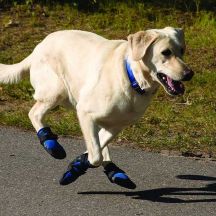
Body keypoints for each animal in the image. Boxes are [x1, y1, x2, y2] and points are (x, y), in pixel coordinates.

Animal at [0, 27, 194, 189]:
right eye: (165, 52)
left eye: (182, 50)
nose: (189, 74)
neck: (131, 77)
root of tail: (39, 46)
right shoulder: (85, 113)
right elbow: (95, 157)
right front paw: (77, 165)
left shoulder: (115, 126)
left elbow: (98, 148)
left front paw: (78, 164)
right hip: (56, 91)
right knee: (34, 113)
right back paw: (51, 143)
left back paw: (115, 172)